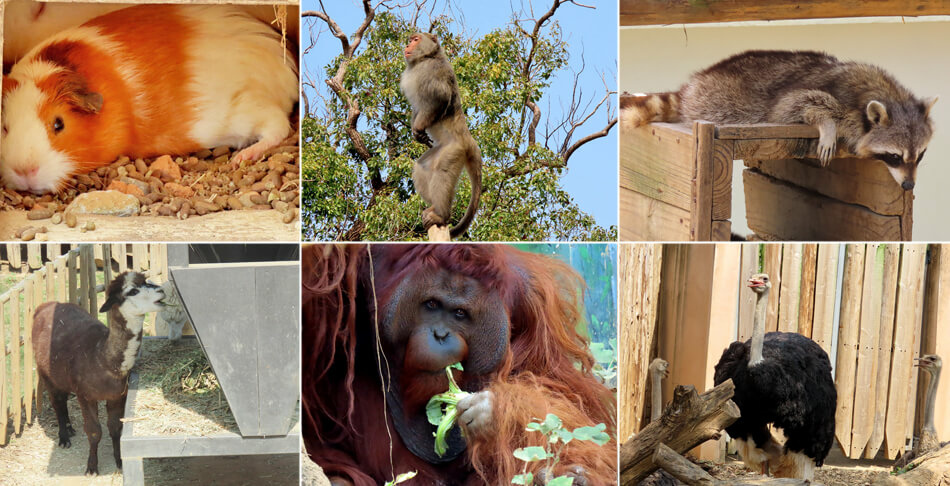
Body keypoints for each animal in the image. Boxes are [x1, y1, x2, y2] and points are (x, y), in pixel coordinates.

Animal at [400, 31, 484, 237]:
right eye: (410, 39)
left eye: (415, 39)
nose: (407, 45)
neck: (426, 57)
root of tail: (469, 140)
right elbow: (418, 108)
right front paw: (417, 133)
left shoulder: (431, 70)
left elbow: (439, 98)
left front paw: (419, 127)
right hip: (443, 148)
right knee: (422, 167)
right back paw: (433, 208)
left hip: (454, 150)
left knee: (443, 172)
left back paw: (441, 215)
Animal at [620, 50, 940, 191]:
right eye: (895, 157)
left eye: (920, 156)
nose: (909, 186)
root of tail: (694, 85)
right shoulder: (825, 95)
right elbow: (795, 105)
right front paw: (827, 125)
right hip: (722, 100)